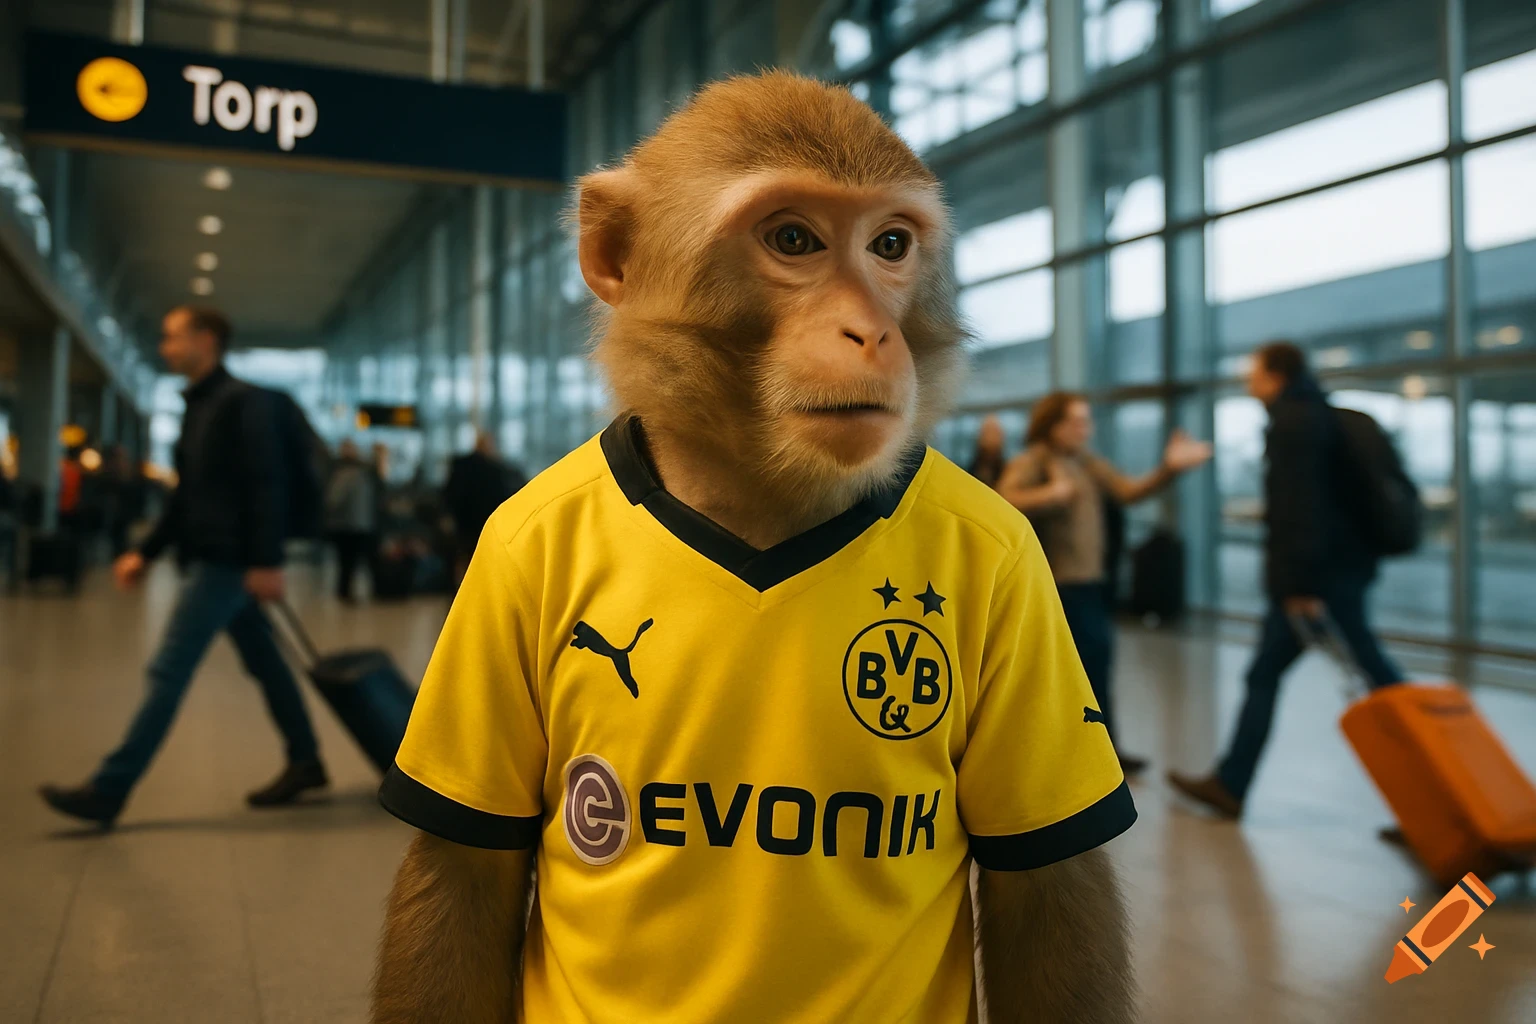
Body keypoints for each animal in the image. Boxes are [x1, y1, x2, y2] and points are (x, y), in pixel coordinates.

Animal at [373, 71, 1136, 1024]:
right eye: (793, 239)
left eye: (890, 245)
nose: (869, 332)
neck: (761, 498)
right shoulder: (501, 558)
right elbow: (465, 869)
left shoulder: (1019, 565)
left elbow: (1048, 884)